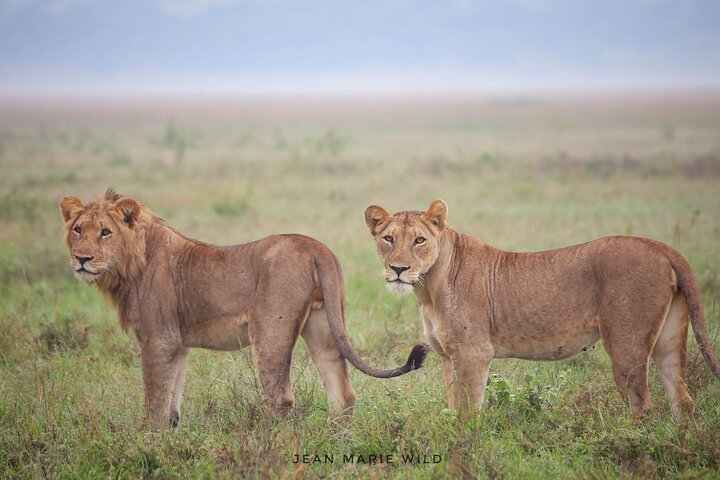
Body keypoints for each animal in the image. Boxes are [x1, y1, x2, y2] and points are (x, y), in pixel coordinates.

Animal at [62, 189, 428, 430]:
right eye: (78, 230)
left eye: (105, 232)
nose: (81, 259)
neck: (129, 264)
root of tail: (315, 246)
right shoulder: (177, 345)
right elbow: (172, 400)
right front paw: (171, 433)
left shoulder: (158, 339)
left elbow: (155, 400)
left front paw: (149, 441)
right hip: (323, 326)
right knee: (342, 393)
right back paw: (336, 440)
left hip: (269, 330)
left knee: (281, 397)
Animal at [366, 199, 720, 420]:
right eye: (388, 238)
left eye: (419, 240)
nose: (398, 269)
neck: (427, 288)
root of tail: (661, 246)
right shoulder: (446, 356)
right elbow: (452, 408)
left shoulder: (473, 352)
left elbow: (467, 414)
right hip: (668, 339)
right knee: (682, 401)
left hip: (625, 344)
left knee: (641, 406)